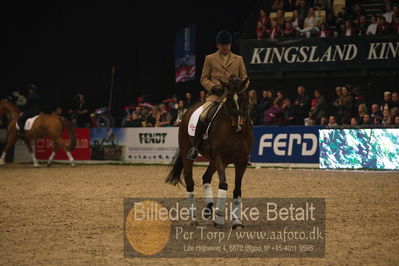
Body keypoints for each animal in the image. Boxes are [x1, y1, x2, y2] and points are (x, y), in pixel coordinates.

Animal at [166, 76, 253, 230]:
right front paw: (219, 219)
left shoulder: (241, 161)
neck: (235, 134)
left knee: (206, 177)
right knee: (189, 181)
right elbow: (223, 185)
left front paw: (237, 222)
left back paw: (208, 208)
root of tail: (187, 111)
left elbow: (237, 190)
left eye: (243, 98)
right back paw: (194, 219)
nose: (238, 124)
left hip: (212, 160)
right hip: (188, 152)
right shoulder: (220, 158)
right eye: (229, 99)